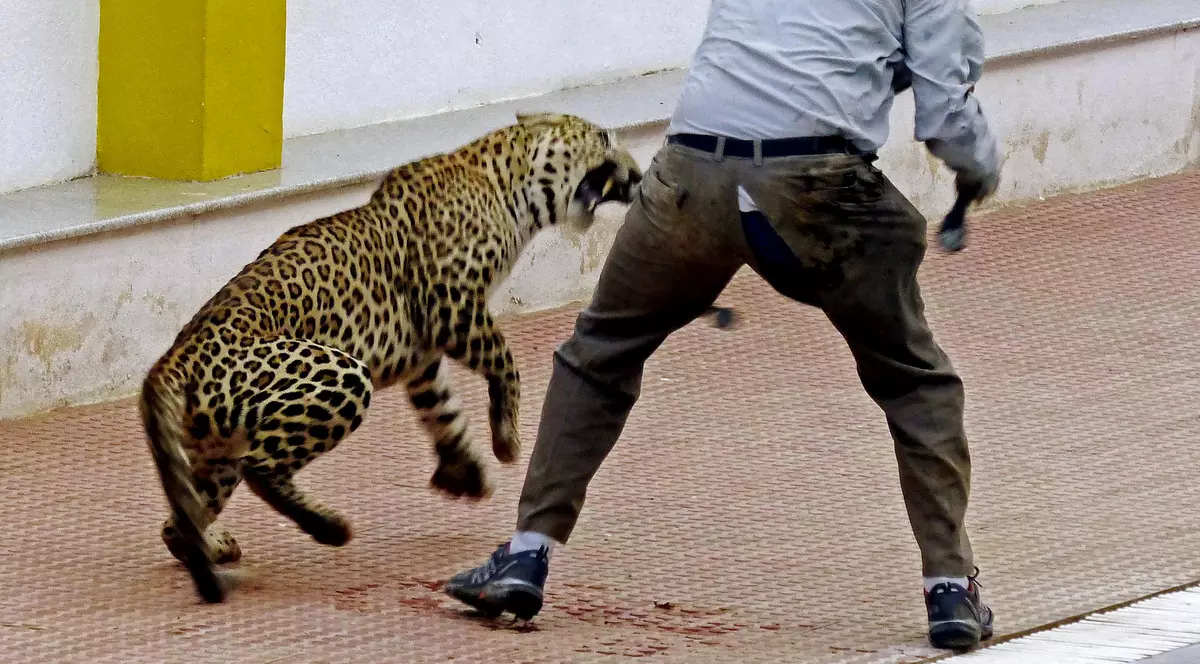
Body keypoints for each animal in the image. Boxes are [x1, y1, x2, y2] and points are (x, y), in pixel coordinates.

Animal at [139, 112, 643, 604]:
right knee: (260, 469)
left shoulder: (422, 354)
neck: (508, 186)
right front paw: (506, 441)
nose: (639, 175)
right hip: (339, 375)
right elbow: (505, 361)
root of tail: (171, 362)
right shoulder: (452, 307)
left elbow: (442, 409)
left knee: (180, 520)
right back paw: (330, 527)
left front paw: (465, 471)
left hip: (216, 449)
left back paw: (212, 546)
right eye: (603, 138)